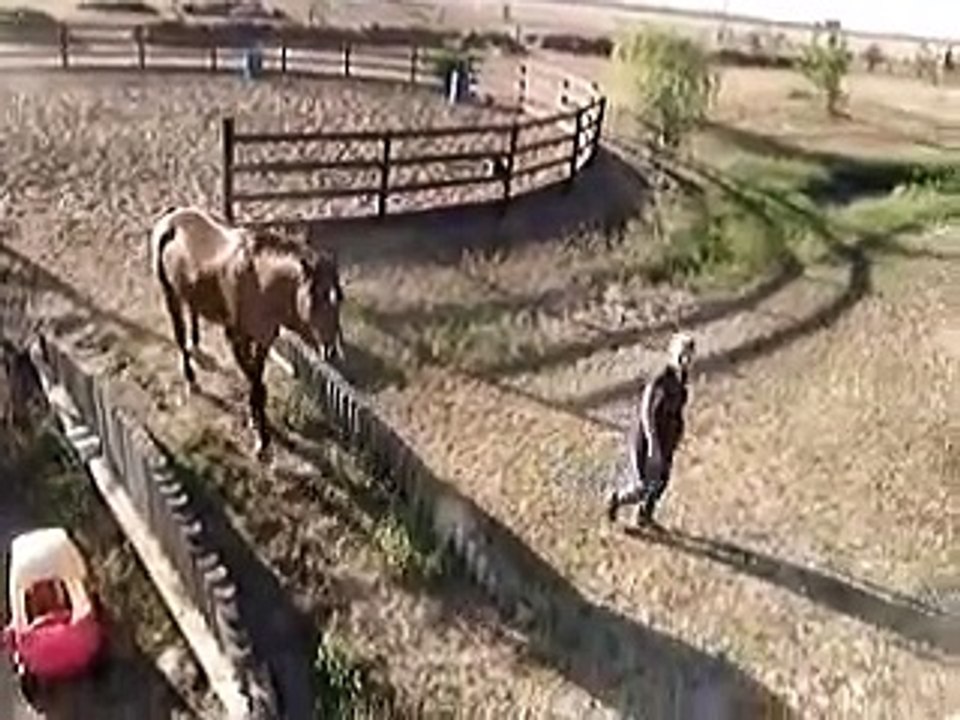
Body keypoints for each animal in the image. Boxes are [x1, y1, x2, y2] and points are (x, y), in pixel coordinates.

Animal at [149, 205, 343, 459]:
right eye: (315, 298)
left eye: (339, 298)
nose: (331, 350)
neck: (261, 284)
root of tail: (172, 217)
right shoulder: (236, 339)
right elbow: (257, 385)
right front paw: (262, 439)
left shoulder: (263, 339)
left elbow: (258, 381)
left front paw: (254, 419)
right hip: (169, 293)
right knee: (180, 336)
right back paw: (190, 379)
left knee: (193, 312)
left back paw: (197, 345)